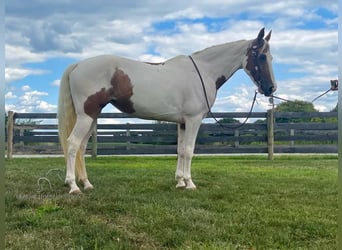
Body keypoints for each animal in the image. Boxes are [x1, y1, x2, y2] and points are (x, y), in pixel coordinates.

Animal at [58, 28, 278, 194]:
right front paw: (190, 183)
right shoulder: (193, 120)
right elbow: (189, 150)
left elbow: (180, 150)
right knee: (72, 144)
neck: (203, 71)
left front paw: (180, 181)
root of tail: (78, 65)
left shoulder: (182, 122)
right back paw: (73, 186)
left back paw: (86, 183)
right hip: (86, 116)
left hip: (92, 117)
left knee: (81, 147)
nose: (271, 88)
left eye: (270, 57)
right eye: (261, 56)